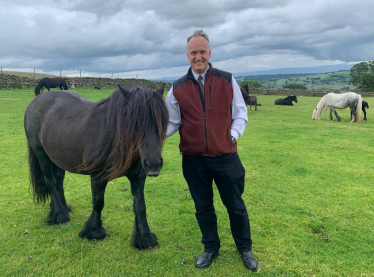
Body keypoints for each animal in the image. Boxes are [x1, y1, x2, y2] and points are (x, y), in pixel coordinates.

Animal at [23, 83, 168, 248]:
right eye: (134, 122)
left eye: (162, 121)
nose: (154, 164)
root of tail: (36, 100)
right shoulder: (98, 177)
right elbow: (98, 203)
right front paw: (94, 232)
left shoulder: (138, 177)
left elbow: (140, 206)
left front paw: (145, 239)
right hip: (41, 154)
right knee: (51, 182)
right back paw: (61, 216)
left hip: (57, 156)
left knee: (58, 181)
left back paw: (61, 209)